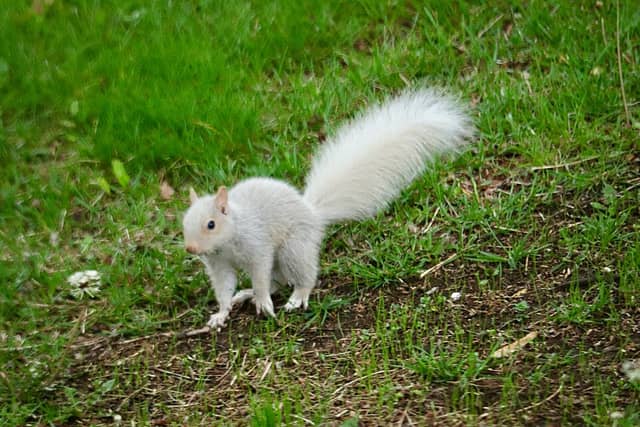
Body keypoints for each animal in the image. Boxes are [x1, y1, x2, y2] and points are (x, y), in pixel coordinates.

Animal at [183, 88, 475, 330]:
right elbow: (224, 287)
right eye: (183, 224)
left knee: (300, 276)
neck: (228, 240)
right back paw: (246, 294)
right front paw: (221, 313)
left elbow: (261, 275)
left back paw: (295, 297)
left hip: (293, 248)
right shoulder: (218, 263)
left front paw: (263, 301)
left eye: (211, 224)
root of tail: (312, 214)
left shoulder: (257, 246)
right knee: (279, 280)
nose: (191, 249)